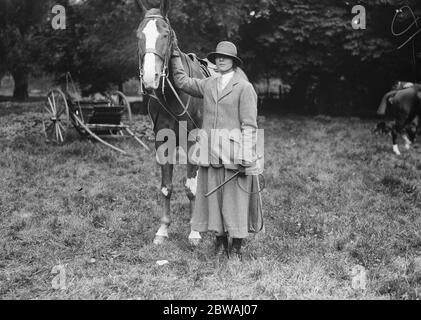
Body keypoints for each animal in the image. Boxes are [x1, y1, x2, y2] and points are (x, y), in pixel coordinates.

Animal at [136, 0, 212, 245]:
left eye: (166, 34)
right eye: (138, 35)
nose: (149, 78)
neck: (174, 93)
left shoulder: (192, 142)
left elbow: (190, 187)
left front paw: (195, 232)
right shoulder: (163, 142)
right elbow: (166, 187)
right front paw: (163, 230)